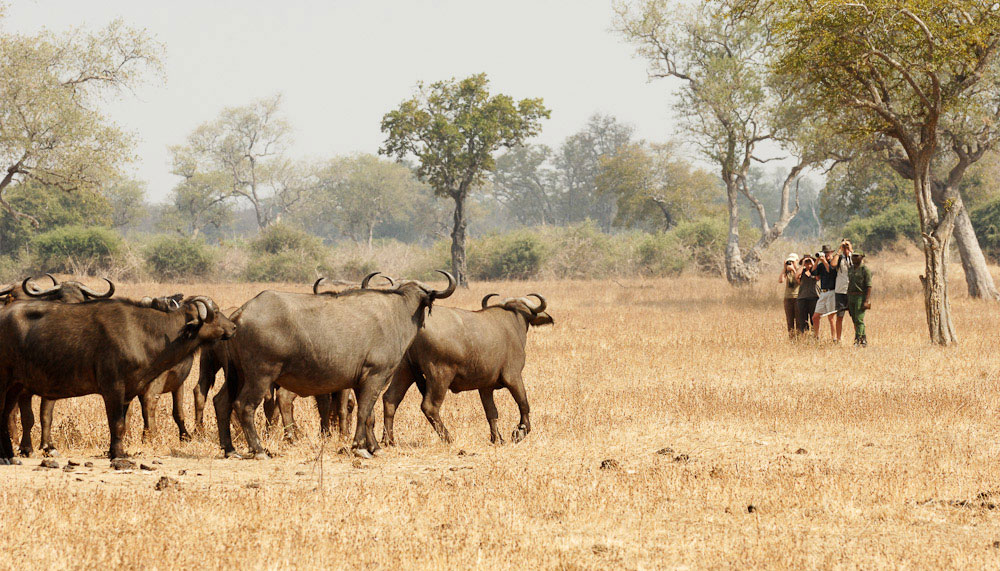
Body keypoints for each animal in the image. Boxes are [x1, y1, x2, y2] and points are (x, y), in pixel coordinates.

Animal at [0, 294, 234, 460]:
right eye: (216, 312)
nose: (233, 326)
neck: (142, 332)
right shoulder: (113, 388)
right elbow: (117, 423)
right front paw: (118, 454)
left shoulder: (128, 392)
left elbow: (121, 423)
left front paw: (117, 451)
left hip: (14, 387)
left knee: (6, 415)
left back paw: (9, 453)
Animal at [217, 270, 458, 458]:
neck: (398, 312)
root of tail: (241, 313)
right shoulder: (376, 377)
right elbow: (364, 412)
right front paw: (359, 447)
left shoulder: (362, 382)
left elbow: (369, 415)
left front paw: (375, 447)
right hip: (260, 376)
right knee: (244, 406)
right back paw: (258, 449)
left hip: (237, 375)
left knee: (221, 401)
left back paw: (230, 449)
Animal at [382, 294, 556, 446]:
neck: (514, 320)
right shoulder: (513, 377)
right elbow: (524, 404)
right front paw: (519, 432)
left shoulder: (485, 387)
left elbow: (491, 412)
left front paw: (497, 438)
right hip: (439, 375)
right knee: (429, 406)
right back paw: (448, 438)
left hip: (404, 371)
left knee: (390, 399)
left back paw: (388, 440)